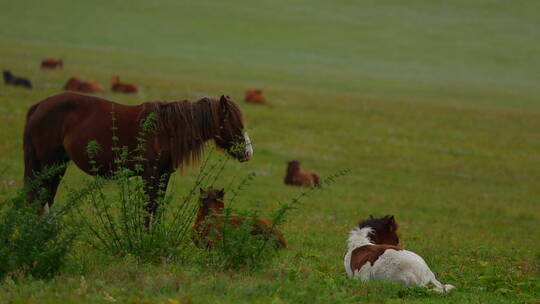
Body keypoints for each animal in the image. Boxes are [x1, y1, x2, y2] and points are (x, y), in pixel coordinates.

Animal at [23, 92, 253, 221]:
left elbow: (156, 209)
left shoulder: (163, 175)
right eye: (234, 123)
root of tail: (38, 106)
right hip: (48, 164)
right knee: (39, 198)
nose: (248, 152)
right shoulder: (150, 175)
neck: (166, 129)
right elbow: (148, 208)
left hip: (58, 165)